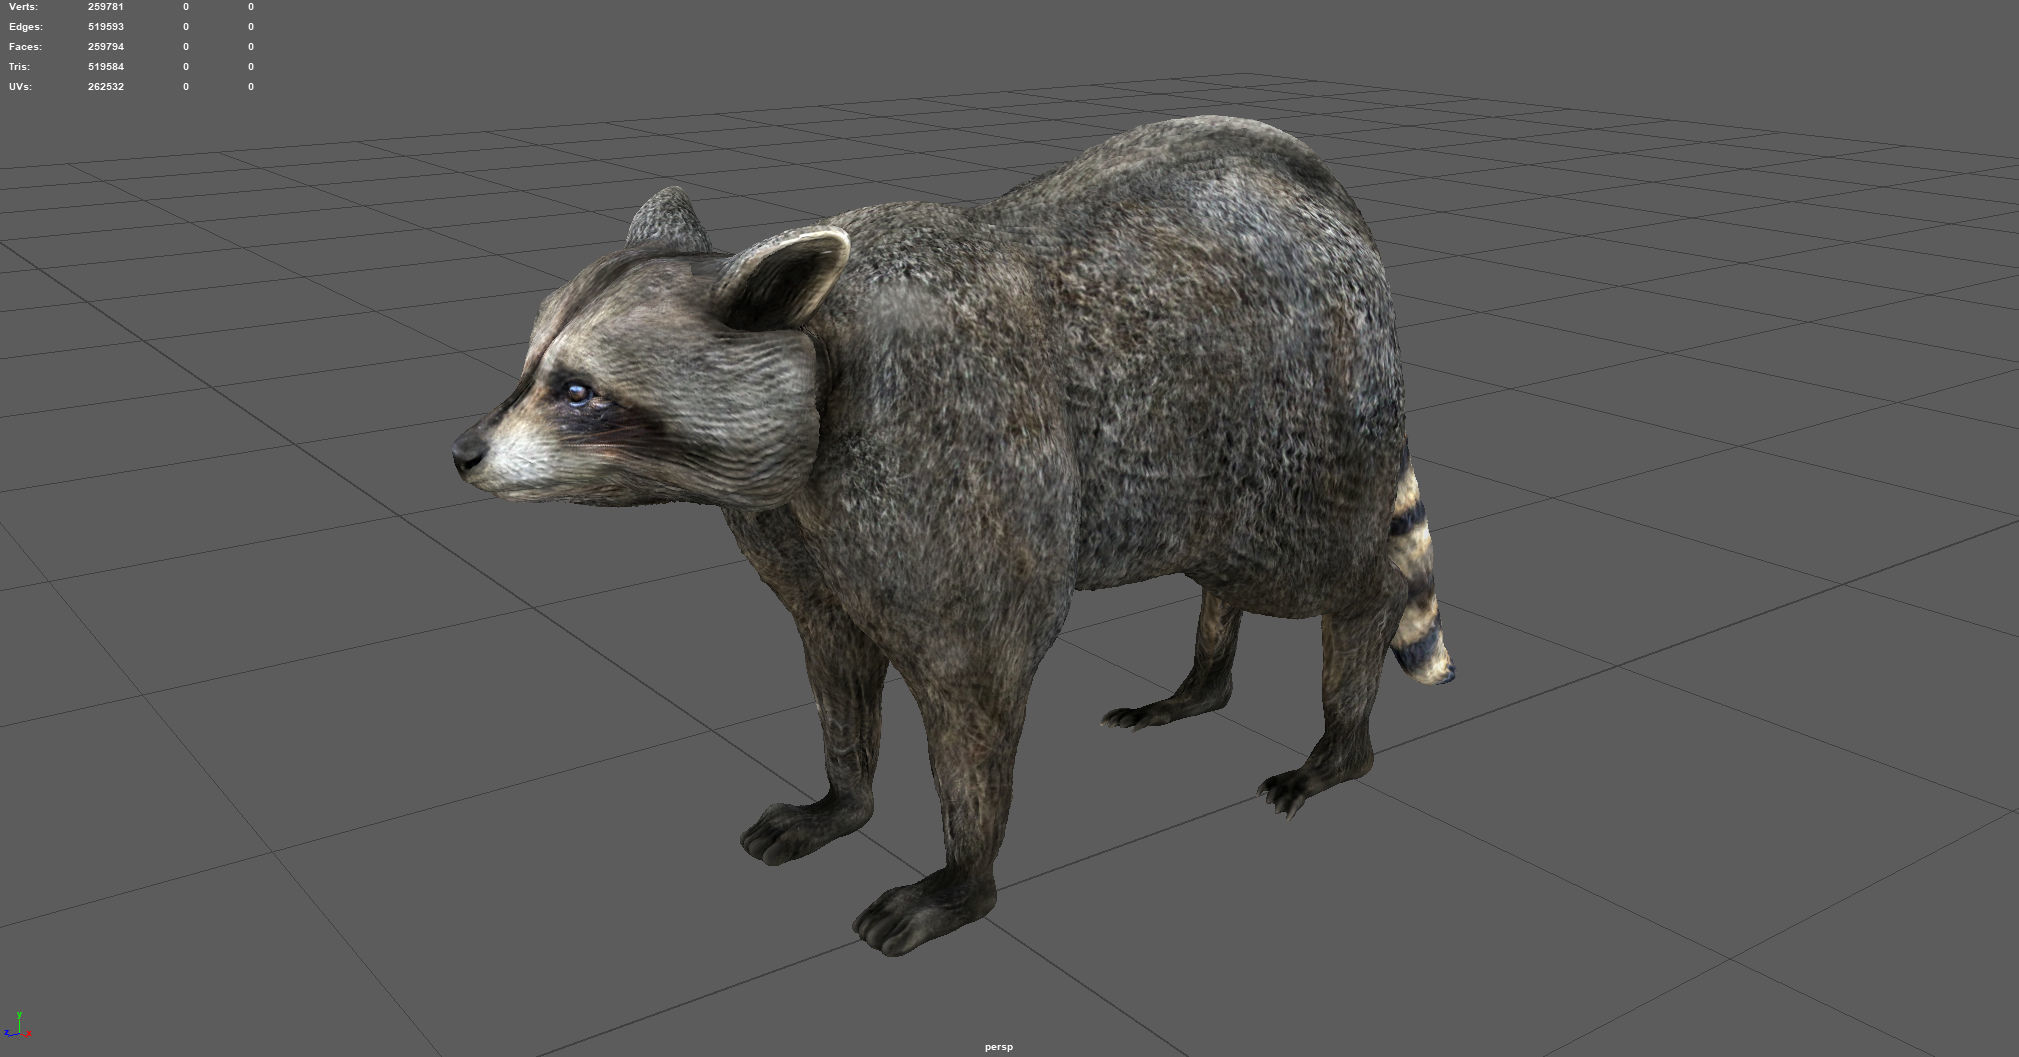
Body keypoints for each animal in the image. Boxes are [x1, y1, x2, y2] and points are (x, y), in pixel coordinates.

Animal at [453, 115, 1455, 957]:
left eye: (577, 391)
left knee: (1331, 575)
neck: (822, 346)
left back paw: (1341, 733)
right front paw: (842, 796)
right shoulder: (802, 534)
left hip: (1300, 418)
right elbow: (834, 665)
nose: (463, 453)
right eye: (532, 367)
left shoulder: (953, 456)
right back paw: (1203, 680)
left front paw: (963, 875)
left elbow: (976, 685)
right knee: (1222, 567)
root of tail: (1318, 187)